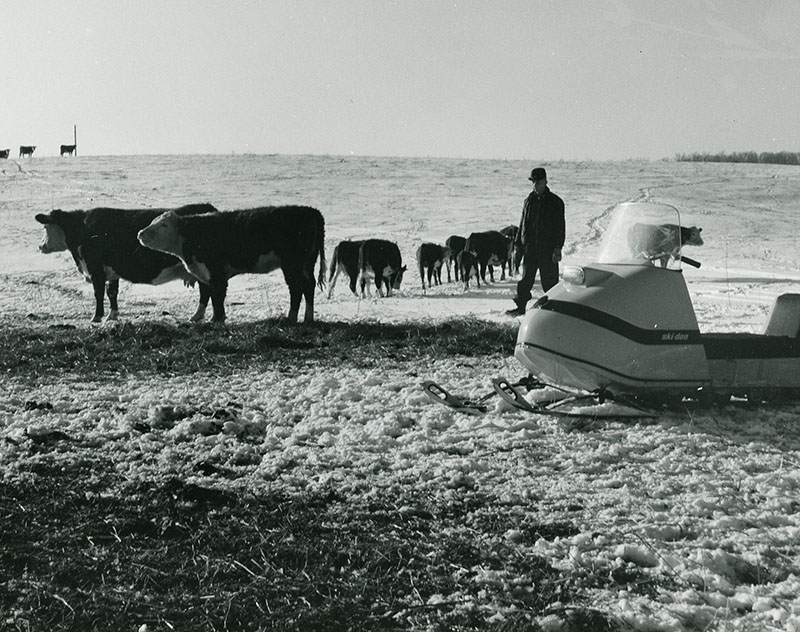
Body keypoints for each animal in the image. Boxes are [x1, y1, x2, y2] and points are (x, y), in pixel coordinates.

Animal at [35, 205, 219, 324]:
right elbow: (112, 293)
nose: (40, 246)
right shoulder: (111, 271)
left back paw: (197, 315)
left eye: (45, 227)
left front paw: (96, 317)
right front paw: (112, 315)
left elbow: (98, 293)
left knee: (206, 291)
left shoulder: (95, 268)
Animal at [139, 206, 326, 324]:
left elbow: (217, 296)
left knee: (296, 287)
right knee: (309, 285)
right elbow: (208, 294)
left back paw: (291, 318)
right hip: (307, 263)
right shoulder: (205, 272)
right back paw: (308, 318)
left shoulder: (216, 272)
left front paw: (217, 320)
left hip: (292, 263)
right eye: (153, 221)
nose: (140, 233)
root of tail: (310, 211)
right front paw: (204, 317)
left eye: (163, 225)